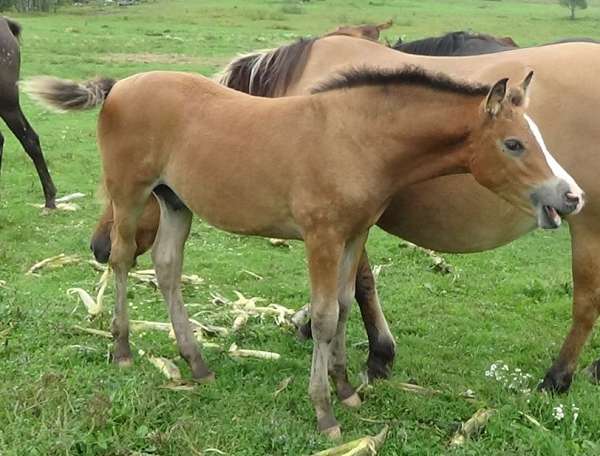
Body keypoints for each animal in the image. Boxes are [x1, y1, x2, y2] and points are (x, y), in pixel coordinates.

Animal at [25, 66, 580, 436]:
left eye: (537, 137)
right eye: (513, 144)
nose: (572, 195)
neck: (355, 139)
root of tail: (121, 84)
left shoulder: (355, 234)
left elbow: (344, 305)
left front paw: (347, 389)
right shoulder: (322, 236)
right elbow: (325, 316)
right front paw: (325, 411)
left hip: (175, 201)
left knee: (166, 268)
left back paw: (196, 362)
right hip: (130, 193)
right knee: (123, 259)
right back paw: (121, 349)